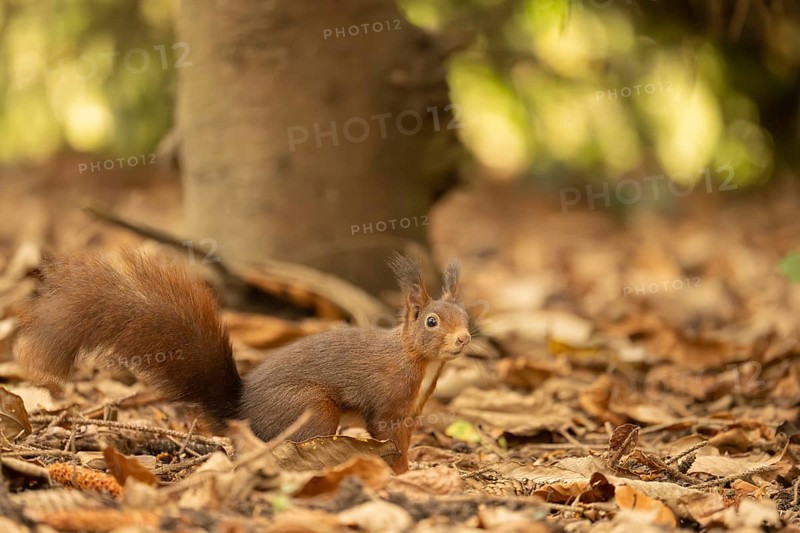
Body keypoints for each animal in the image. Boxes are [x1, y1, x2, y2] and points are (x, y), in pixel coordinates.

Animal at [14, 250, 471, 473]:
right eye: (431, 321)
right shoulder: (387, 402)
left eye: (466, 314)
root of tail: (242, 410)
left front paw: (413, 466)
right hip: (312, 410)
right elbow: (387, 436)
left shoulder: (410, 409)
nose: (464, 338)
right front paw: (402, 472)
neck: (413, 357)